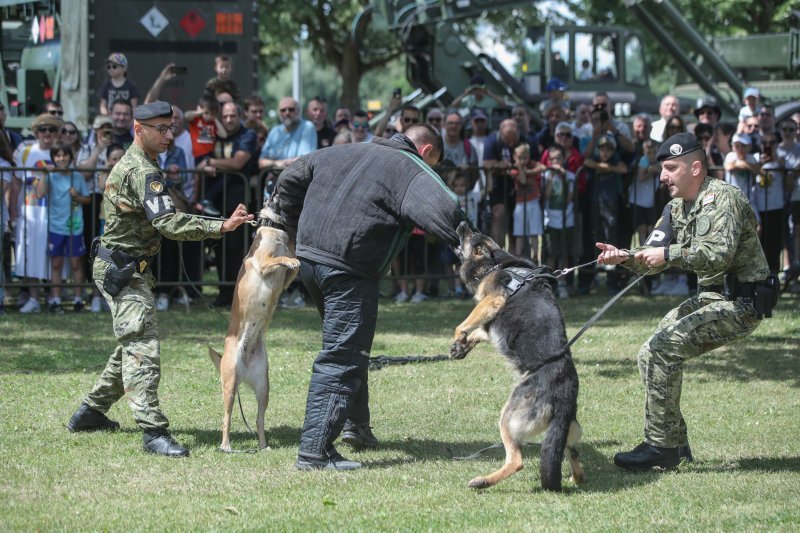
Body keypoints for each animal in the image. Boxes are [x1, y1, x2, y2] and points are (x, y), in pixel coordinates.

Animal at [209, 218, 300, 450]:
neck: (275, 232)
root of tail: (245, 369)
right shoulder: (263, 264)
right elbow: (279, 258)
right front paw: (290, 259)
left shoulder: (286, 279)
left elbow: (292, 265)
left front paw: (297, 259)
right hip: (230, 386)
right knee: (227, 418)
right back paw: (226, 446)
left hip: (263, 387)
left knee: (259, 419)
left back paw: (263, 446)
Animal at [450, 221, 580, 490]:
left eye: (470, 235)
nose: (463, 223)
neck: (495, 263)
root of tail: (564, 394)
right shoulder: (490, 321)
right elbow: (478, 331)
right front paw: (461, 347)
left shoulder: (492, 299)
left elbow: (466, 323)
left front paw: (458, 337)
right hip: (566, 432)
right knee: (573, 455)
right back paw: (574, 478)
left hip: (507, 418)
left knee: (516, 461)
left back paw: (483, 481)